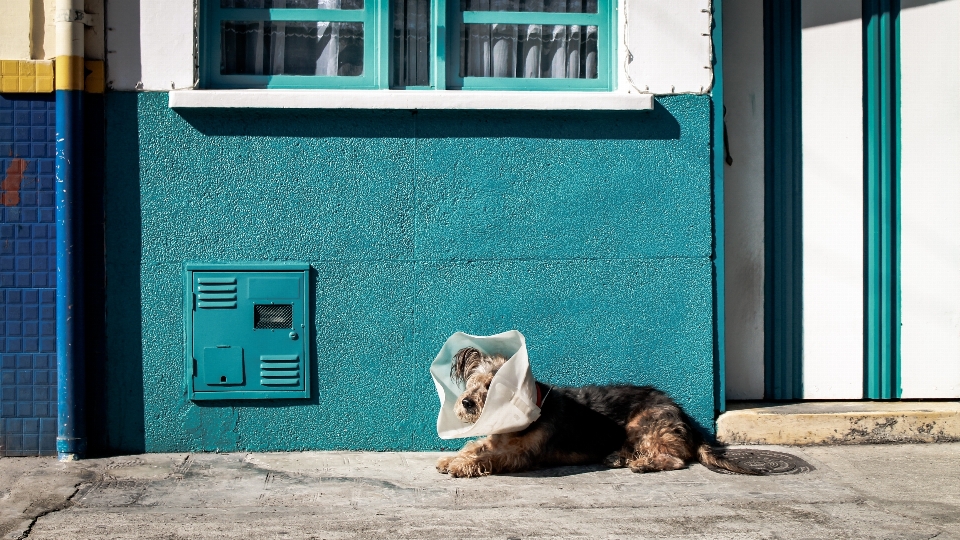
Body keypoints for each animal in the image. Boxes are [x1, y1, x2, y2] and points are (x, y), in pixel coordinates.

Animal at [436, 346, 756, 476]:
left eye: (493, 386)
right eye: (473, 382)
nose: (466, 402)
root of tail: (682, 413)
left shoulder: (521, 455)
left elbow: (489, 457)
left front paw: (460, 466)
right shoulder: (495, 440)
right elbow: (475, 446)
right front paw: (452, 458)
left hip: (642, 422)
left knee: (675, 459)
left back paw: (642, 463)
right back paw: (618, 457)